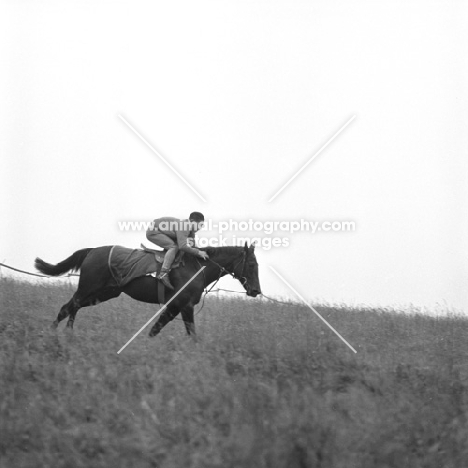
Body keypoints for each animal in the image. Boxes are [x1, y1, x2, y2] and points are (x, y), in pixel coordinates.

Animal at [34, 243, 262, 338]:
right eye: (251, 264)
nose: (256, 291)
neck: (196, 267)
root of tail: (92, 251)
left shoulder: (174, 307)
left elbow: (155, 330)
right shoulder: (184, 306)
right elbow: (192, 334)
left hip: (103, 293)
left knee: (73, 307)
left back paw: (67, 332)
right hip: (88, 288)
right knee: (67, 308)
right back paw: (52, 333)